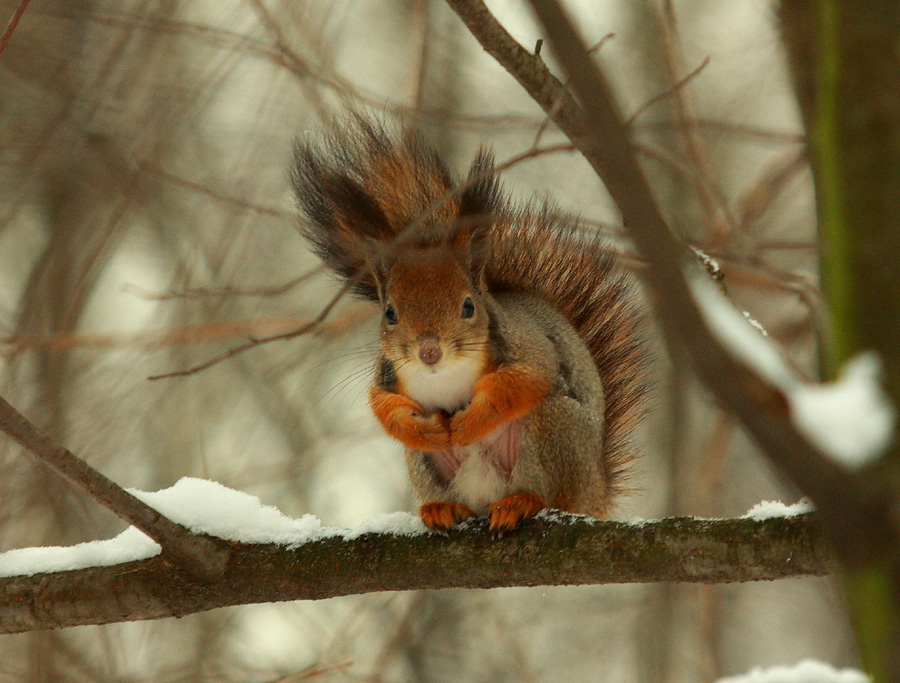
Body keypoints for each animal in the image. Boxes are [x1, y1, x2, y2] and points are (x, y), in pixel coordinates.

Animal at [296, 116, 648, 536]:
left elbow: (525, 380)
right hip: (425, 465)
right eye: (390, 313)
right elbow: (381, 404)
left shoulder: (530, 348)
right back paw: (442, 508)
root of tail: (595, 492)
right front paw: (418, 426)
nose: (429, 351)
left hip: (556, 430)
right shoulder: (386, 372)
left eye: (468, 307)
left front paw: (471, 422)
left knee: (546, 491)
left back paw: (520, 502)